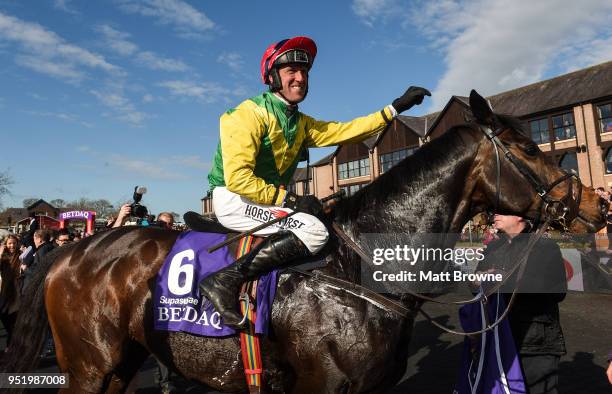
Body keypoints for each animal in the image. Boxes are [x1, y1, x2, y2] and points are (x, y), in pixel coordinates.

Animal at [1, 91, 608, 392]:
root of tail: (71, 250)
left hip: (122, 363)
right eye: (525, 149)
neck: (356, 269)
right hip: (89, 366)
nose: (595, 204)